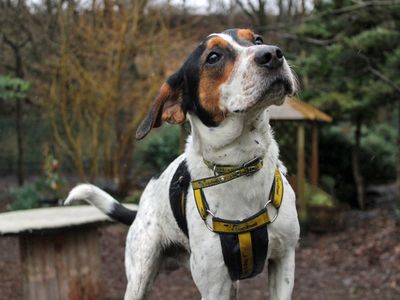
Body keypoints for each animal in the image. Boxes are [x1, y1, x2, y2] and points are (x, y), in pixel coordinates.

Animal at [64, 28, 298, 300]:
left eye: (257, 39)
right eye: (213, 57)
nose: (273, 54)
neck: (241, 164)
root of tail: (140, 206)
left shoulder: (284, 262)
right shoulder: (214, 285)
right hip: (140, 276)